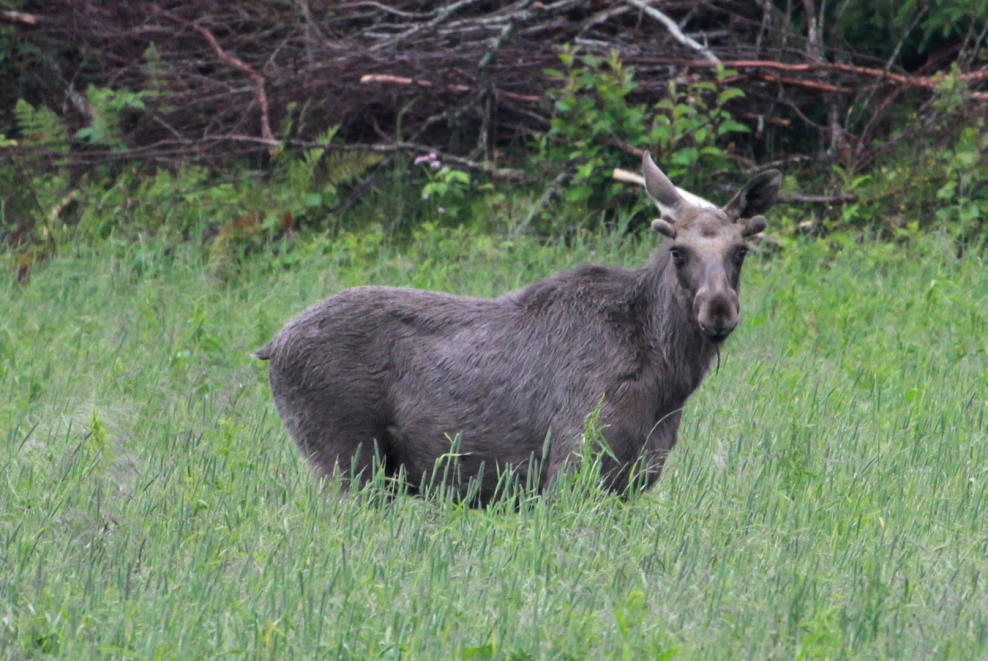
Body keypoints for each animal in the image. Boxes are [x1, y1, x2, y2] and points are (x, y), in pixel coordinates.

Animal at [255, 153, 780, 500]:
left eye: (740, 250)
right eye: (678, 251)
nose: (718, 310)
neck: (668, 383)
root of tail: (271, 346)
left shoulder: (634, 479)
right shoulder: (572, 466)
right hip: (344, 460)